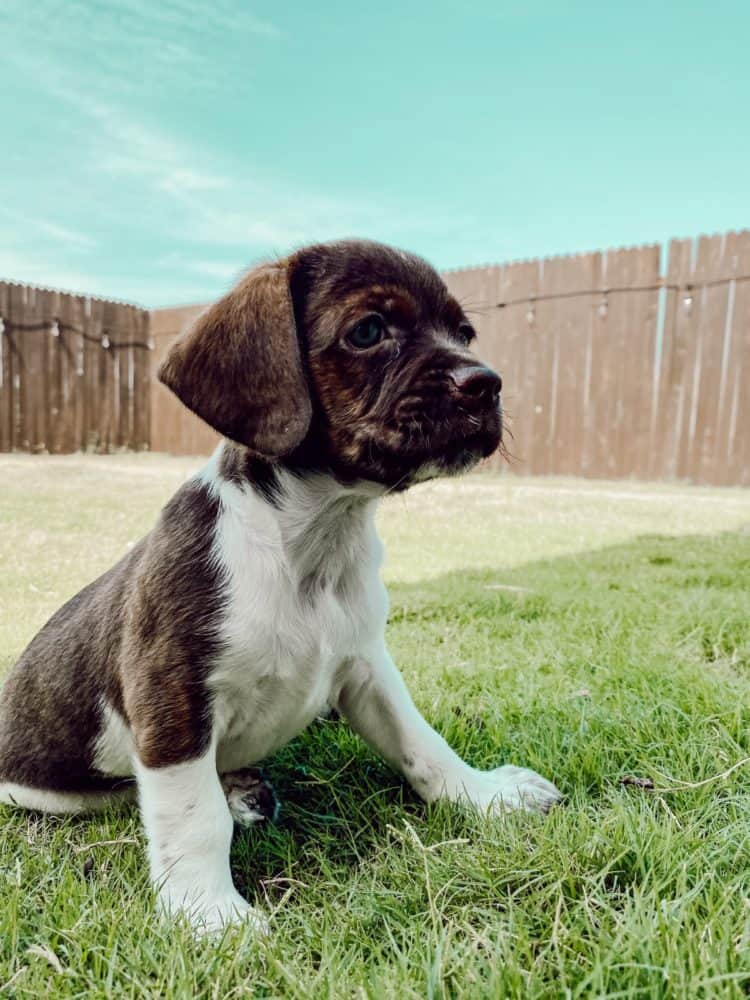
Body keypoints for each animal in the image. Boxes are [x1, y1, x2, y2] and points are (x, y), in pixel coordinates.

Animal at [0, 242, 560, 936]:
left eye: (464, 333)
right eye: (369, 331)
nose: (487, 383)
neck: (314, 543)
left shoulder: (367, 667)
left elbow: (422, 743)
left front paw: (483, 795)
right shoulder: (171, 692)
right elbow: (193, 816)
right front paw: (207, 913)